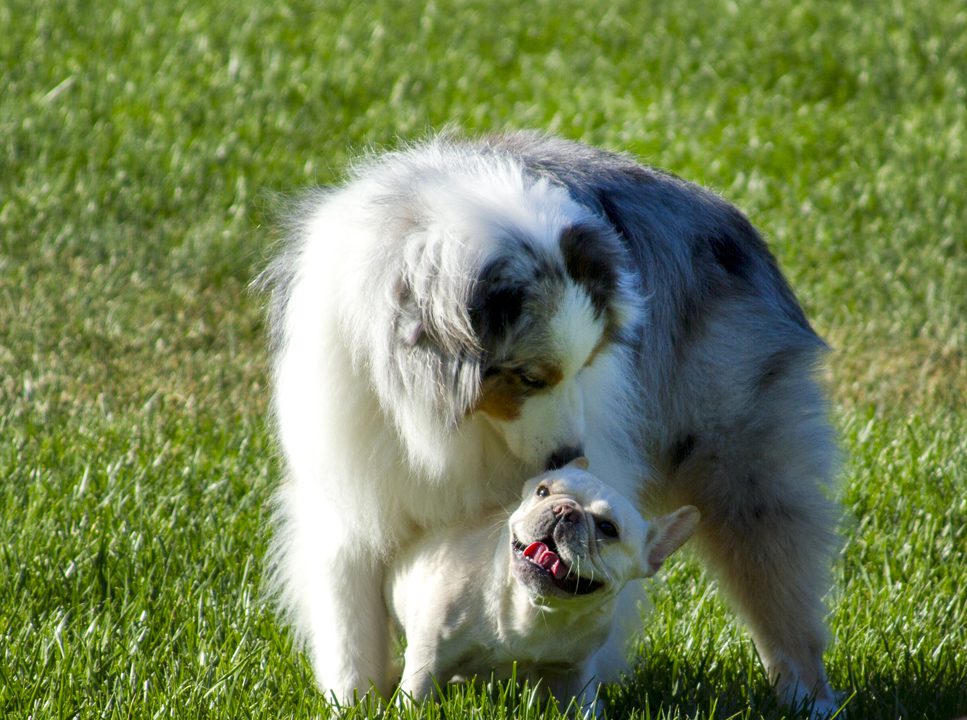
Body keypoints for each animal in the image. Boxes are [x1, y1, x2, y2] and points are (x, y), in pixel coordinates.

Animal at [386, 459, 700, 714]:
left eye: (608, 529)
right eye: (542, 491)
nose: (565, 509)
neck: (533, 608)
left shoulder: (571, 672)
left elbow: (579, 707)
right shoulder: (428, 660)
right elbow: (416, 699)